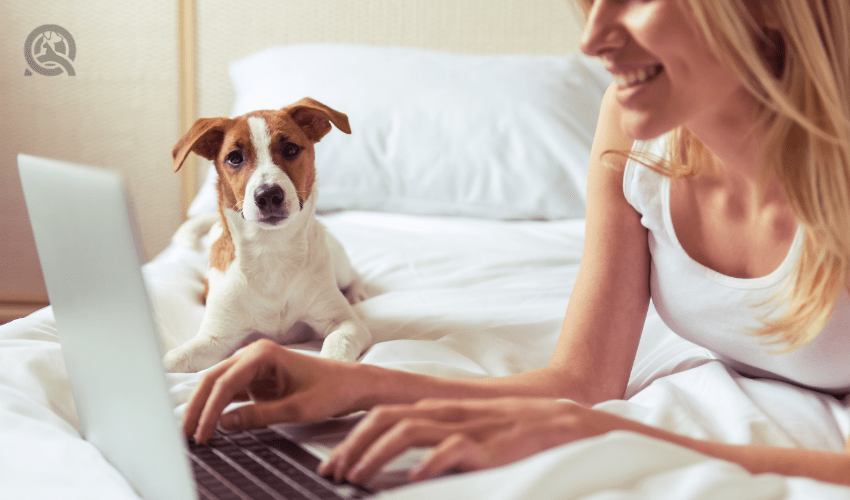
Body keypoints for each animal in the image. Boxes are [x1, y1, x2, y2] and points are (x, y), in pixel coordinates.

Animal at [162, 96, 368, 372]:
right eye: (234, 158)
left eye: (290, 149)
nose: (268, 195)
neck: (270, 249)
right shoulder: (215, 338)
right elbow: (175, 359)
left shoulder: (346, 323)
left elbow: (337, 344)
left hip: (338, 263)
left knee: (352, 274)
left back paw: (357, 292)